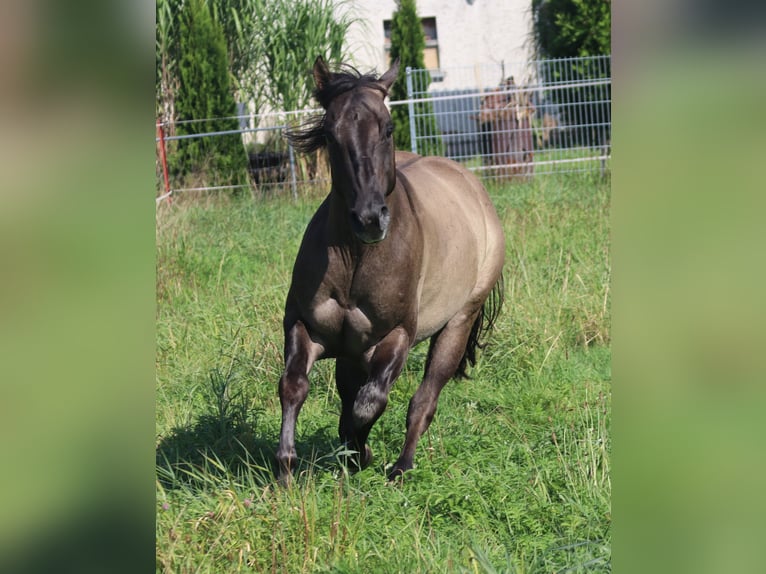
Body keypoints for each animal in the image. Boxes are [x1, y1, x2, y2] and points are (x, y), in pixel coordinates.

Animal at [280, 56, 508, 484]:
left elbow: (369, 403)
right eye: (331, 134)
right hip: (354, 350)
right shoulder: (306, 327)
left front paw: (363, 452)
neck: (356, 258)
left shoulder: (397, 336)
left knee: (424, 399)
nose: (370, 219)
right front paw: (286, 465)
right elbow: (294, 386)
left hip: (457, 324)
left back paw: (401, 466)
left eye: (387, 127)